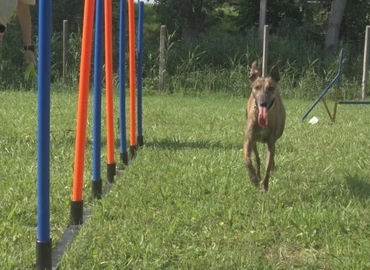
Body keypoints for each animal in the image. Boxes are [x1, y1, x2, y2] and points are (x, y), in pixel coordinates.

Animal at [246, 61, 286, 192]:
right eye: (256, 87)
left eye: (271, 88)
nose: (263, 103)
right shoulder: (249, 140)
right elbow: (247, 160)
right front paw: (253, 178)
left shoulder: (271, 142)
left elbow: (267, 167)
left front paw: (265, 186)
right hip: (254, 142)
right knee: (257, 158)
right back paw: (257, 175)